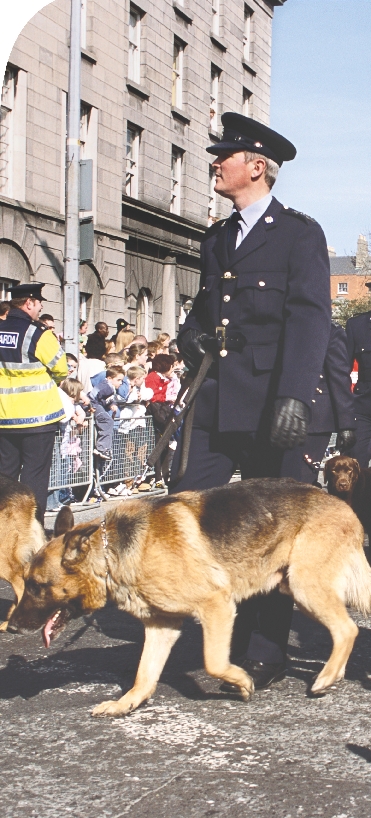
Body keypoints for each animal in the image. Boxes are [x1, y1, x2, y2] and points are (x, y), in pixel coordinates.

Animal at [9, 478, 371, 712]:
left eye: (38, 586)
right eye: (26, 582)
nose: (11, 627)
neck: (111, 553)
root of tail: (343, 505)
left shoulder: (217, 605)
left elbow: (213, 661)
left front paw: (242, 680)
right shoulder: (161, 627)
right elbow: (145, 673)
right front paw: (126, 703)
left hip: (305, 587)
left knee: (347, 629)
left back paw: (327, 676)